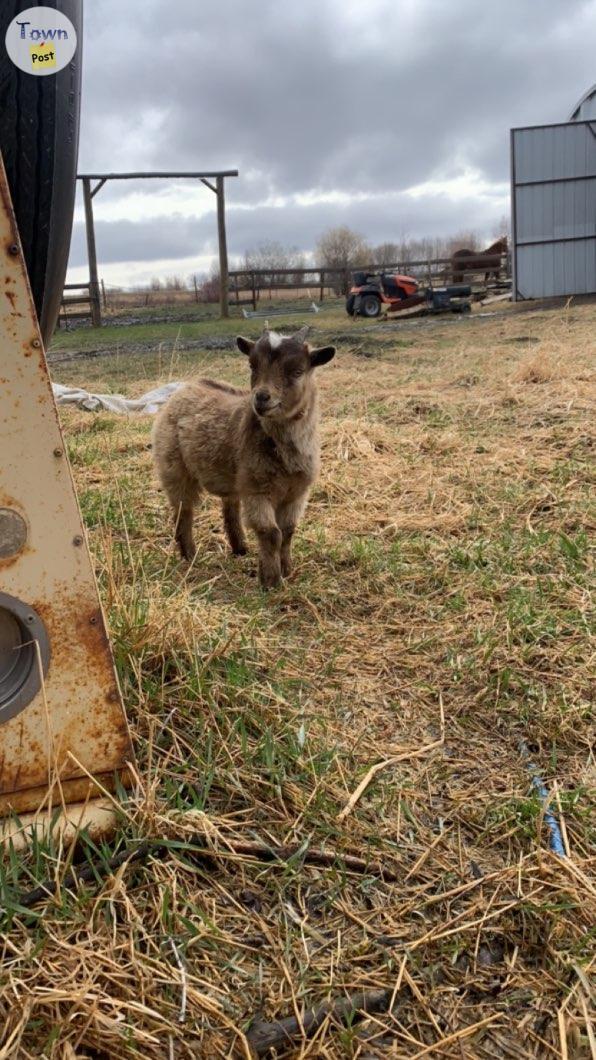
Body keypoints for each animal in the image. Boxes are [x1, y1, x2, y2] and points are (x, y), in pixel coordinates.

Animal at [150, 324, 335, 589]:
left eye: (298, 371)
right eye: (252, 365)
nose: (261, 397)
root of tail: (184, 387)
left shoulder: (297, 492)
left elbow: (288, 530)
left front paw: (287, 570)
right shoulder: (257, 490)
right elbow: (272, 533)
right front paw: (271, 581)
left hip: (233, 478)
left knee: (230, 507)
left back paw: (240, 548)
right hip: (173, 467)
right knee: (183, 511)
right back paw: (190, 556)